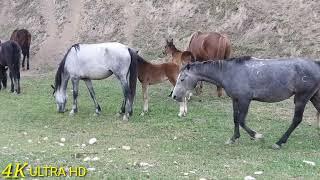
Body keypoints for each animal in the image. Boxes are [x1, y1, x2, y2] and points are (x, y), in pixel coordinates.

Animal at [172, 56, 320, 149]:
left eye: (182, 79)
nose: (174, 96)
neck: (229, 72)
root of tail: (316, 64)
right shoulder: (235, 99)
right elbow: (235, 119)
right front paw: (234, 138)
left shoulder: (245, 100)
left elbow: (242, 120)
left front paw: (256, 135)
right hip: (314, 97)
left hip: (301, 98)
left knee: (296, 120)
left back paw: (279, 142)